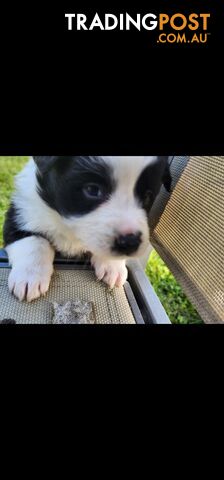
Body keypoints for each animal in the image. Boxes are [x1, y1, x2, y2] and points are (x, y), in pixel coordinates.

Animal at [3, 156, 171, 302]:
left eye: (147, 197)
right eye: (92, 189)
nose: (130, 242)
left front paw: (112, 266)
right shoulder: (19, 214)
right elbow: (34, 242)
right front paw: (30, 276)